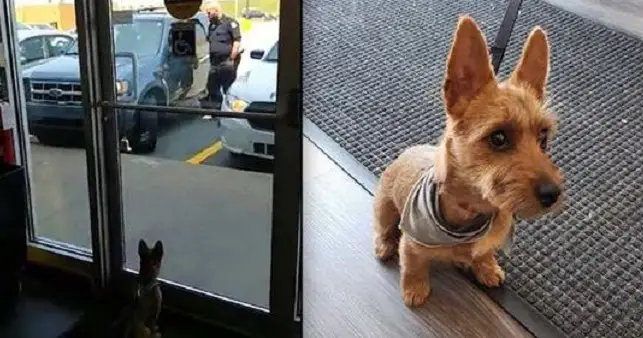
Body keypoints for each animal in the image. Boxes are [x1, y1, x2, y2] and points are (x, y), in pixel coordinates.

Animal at [374, 15, 568, 306]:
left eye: (543, 137)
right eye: (498, 138)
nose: (553, 194)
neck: (472, 212)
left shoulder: (488, 240)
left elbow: (484, 253)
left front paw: (487, 268)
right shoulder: (412, 244)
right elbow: (413, 266)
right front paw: (415, 289)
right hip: (384, 206)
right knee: (383, 227)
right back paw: (384, 244)